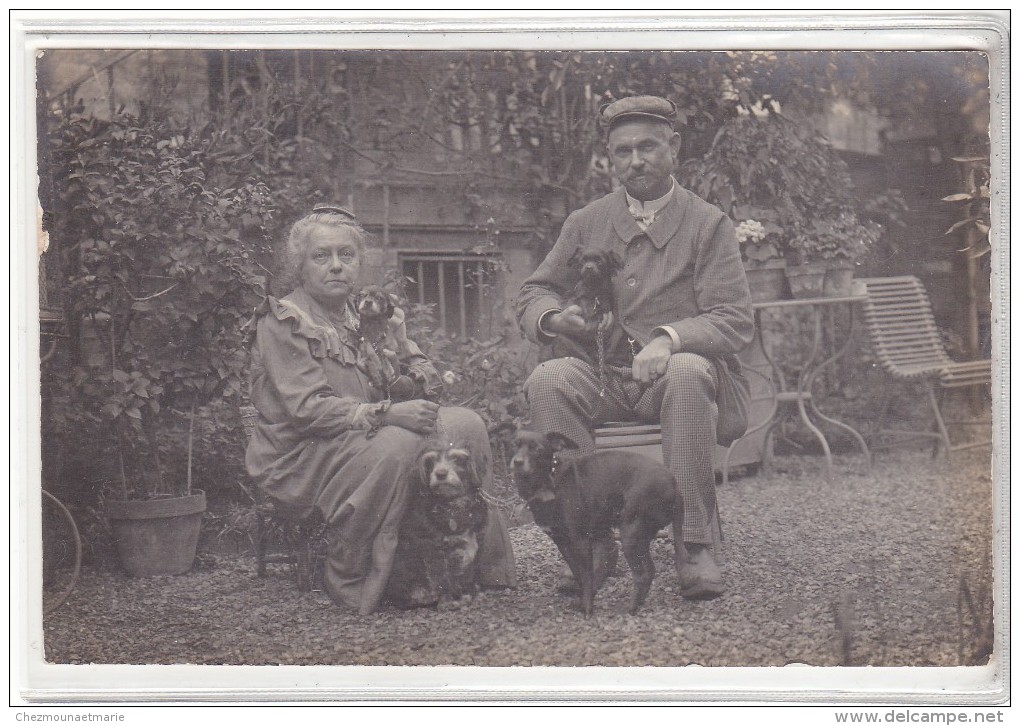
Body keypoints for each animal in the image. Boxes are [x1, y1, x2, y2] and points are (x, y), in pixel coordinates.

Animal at [505, 428, 681, 615]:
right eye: (513, 445)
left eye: (537, 449)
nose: (517, 462)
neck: (547, 484)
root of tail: (674, 485)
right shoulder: (562, 543)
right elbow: (578, 574)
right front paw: (581, 600)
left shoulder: (580, 542)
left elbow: (587, 576)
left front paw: (588, 607)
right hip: (641, 536)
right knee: (650, 570)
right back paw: (639, 603)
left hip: (630, 534)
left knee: (642, 574)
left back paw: (631, 607)